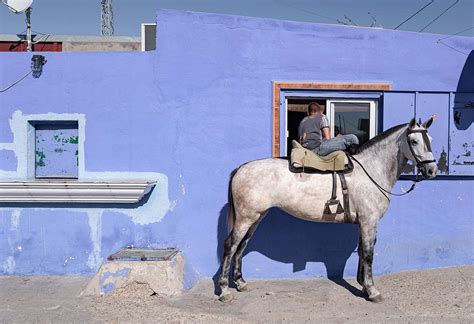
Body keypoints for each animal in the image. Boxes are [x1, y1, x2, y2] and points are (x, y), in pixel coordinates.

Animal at [218, 117, 436, 302]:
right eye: (414, 141)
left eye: (430, 139)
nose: (432, 170)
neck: (371, 170)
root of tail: (241, 168)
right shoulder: (369, 221)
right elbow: (368, 253)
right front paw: (372, 291)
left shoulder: (363, 223)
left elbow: (361, 251)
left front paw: (363, 286)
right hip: (246, 218)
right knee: (230, 246)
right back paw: (225, 291)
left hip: (256, 217)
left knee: (242, 245)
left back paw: (241, 283)